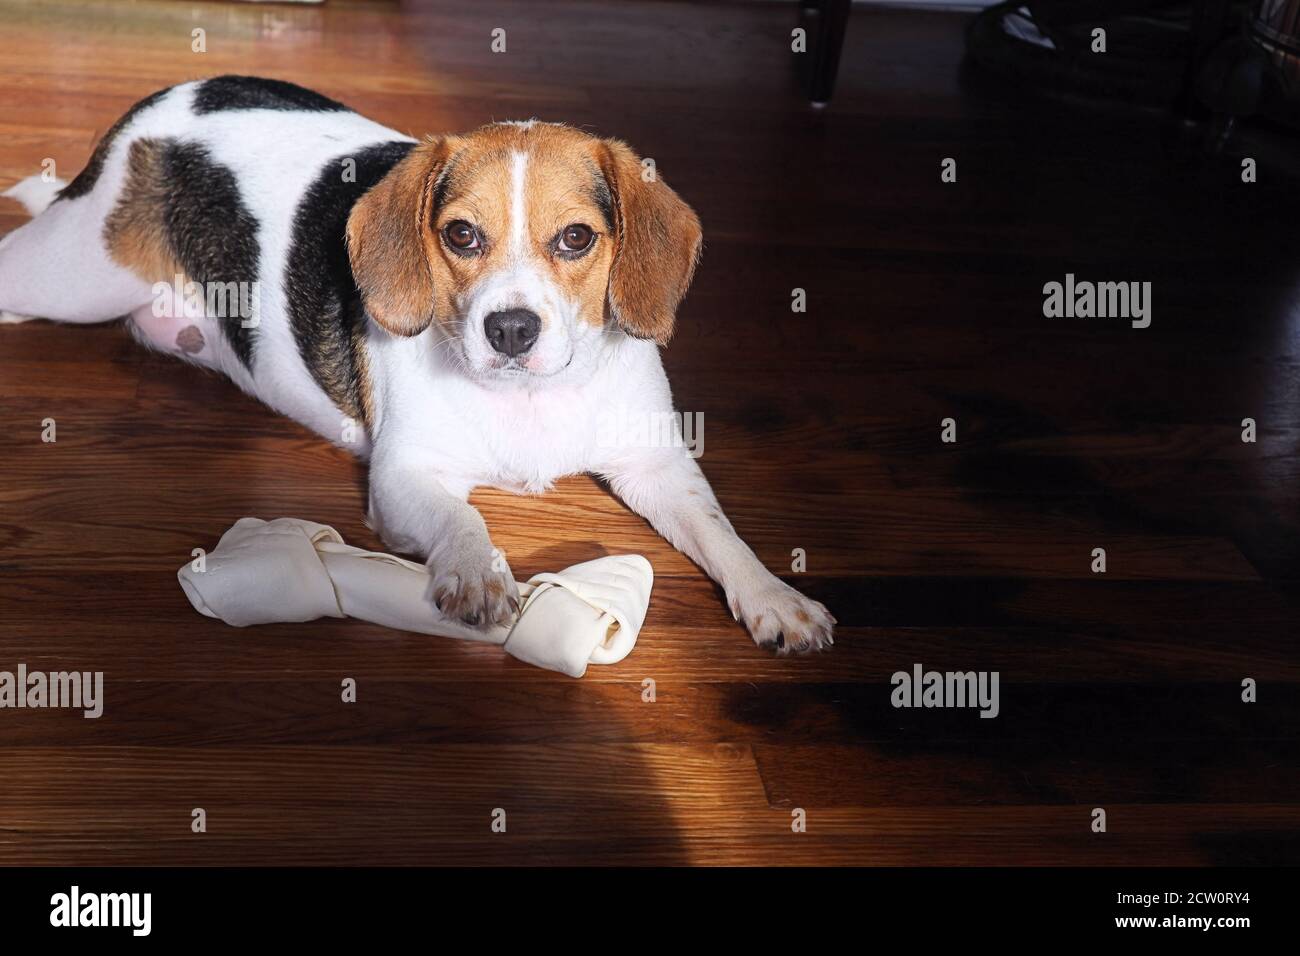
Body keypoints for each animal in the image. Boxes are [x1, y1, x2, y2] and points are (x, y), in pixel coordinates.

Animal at [0, 78, 832, 655]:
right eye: (461, 235)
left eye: (576, 239)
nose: (510, 329)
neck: (529, 397)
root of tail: (160, 103)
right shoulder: (404, 478)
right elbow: (461, 516)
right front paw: (475, 572)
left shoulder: (656, 465)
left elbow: (720, 531)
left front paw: (773, 597)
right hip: (72, 278)